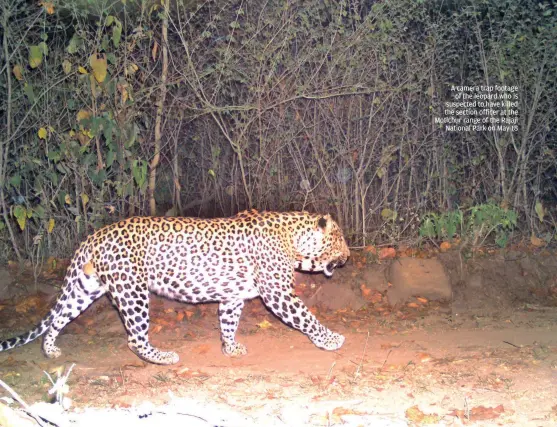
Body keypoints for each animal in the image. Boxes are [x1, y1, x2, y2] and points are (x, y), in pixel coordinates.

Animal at [0, 210, 348, 364]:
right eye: (340, 239)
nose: (347, 256)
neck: (293, 237)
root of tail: (93, 237)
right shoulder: (278, 293)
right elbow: (306, 317)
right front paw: (330, 339)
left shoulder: (232, 296)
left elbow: (228, 322)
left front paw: (230, 347)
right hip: (133, 291)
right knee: (134, 339)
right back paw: (163, 356)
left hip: (86, 288)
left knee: (57, 319)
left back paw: (50, 350)